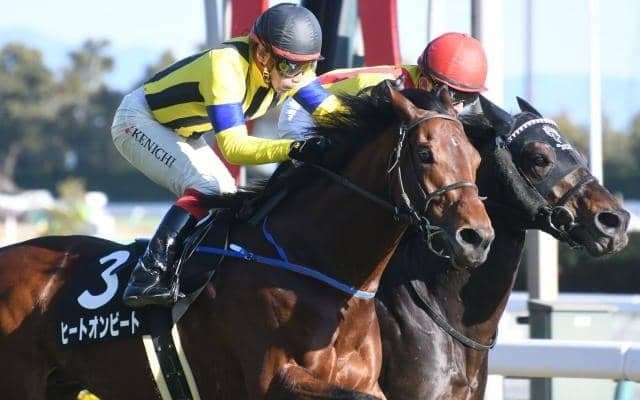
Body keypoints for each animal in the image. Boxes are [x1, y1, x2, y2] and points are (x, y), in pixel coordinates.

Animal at [0, 87, 495, 400]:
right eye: (425, 153)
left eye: (475, 157)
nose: (476, 238)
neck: (310, 265)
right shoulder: (273, 382)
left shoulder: (363, 381)